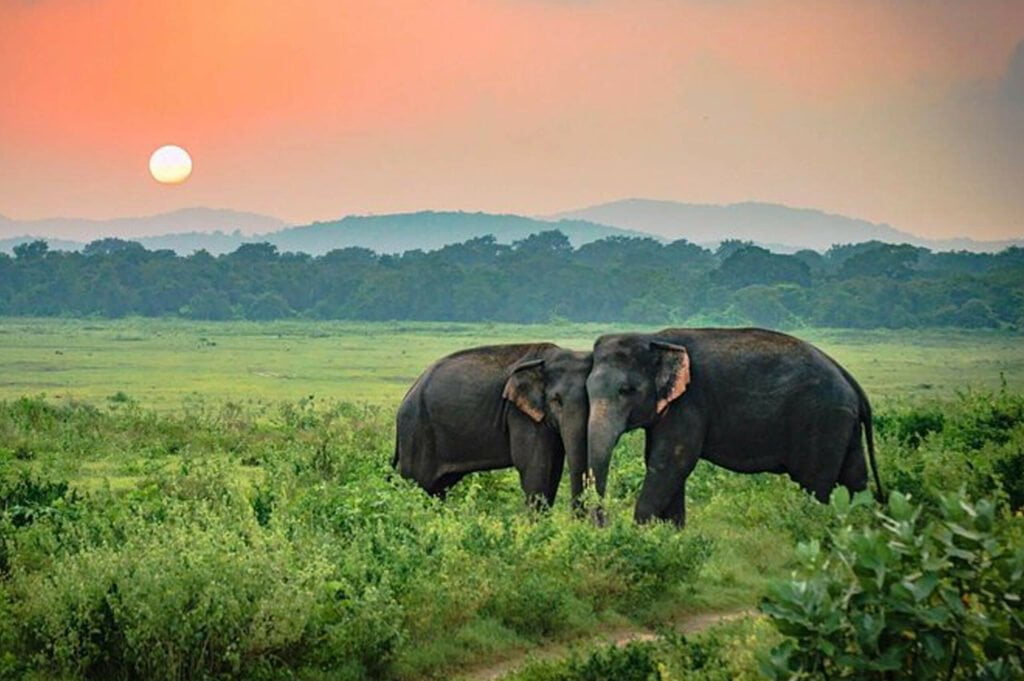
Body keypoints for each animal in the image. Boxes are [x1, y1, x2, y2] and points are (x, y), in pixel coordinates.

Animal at [391, 342, 593, 507]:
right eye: (556, 400)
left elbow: (554, 469)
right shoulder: (519, 414)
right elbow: (535, 468)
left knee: (437, 488)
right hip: (416, 431)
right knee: (416, 482)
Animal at [589, 327, 884, 524]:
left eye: (626, 390)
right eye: (587, 390)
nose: (603, 523)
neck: (653, 338)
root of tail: (850, 380)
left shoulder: (689, 403)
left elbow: (670, 464)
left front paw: (641, 532)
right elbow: (662, 463)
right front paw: (669, 535)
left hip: (823, 421)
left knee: (815, 484)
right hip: (843, 423)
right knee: (855, 477)